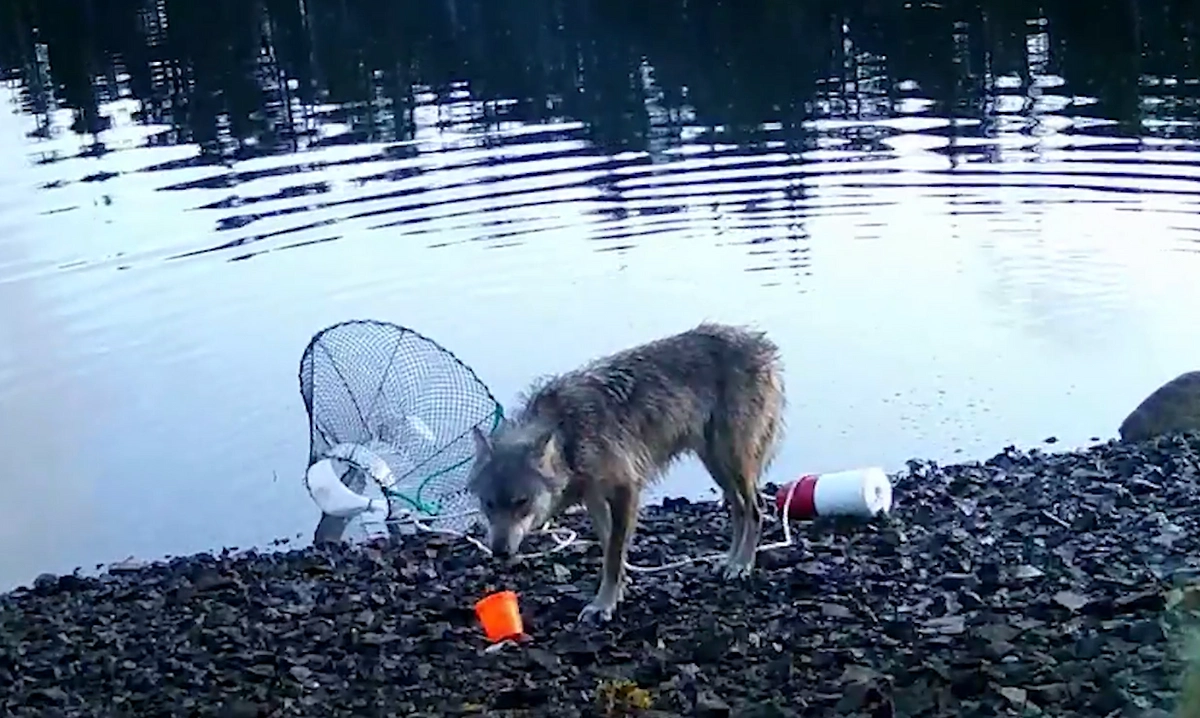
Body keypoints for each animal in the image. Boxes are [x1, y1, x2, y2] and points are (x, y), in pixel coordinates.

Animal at [467, 322, 786, 623]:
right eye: (488, 504)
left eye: (522, 502)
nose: (499, 552)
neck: (569, 434)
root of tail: (762, 343)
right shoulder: (595, 499)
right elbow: (609, 545)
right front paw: (619, 588)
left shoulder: (626, 491)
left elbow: (614, 552)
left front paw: (603, 605)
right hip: (717, 464)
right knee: (740, 508)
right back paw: (730, 561)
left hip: (730, 460)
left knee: (756, 508)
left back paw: (742, 565)